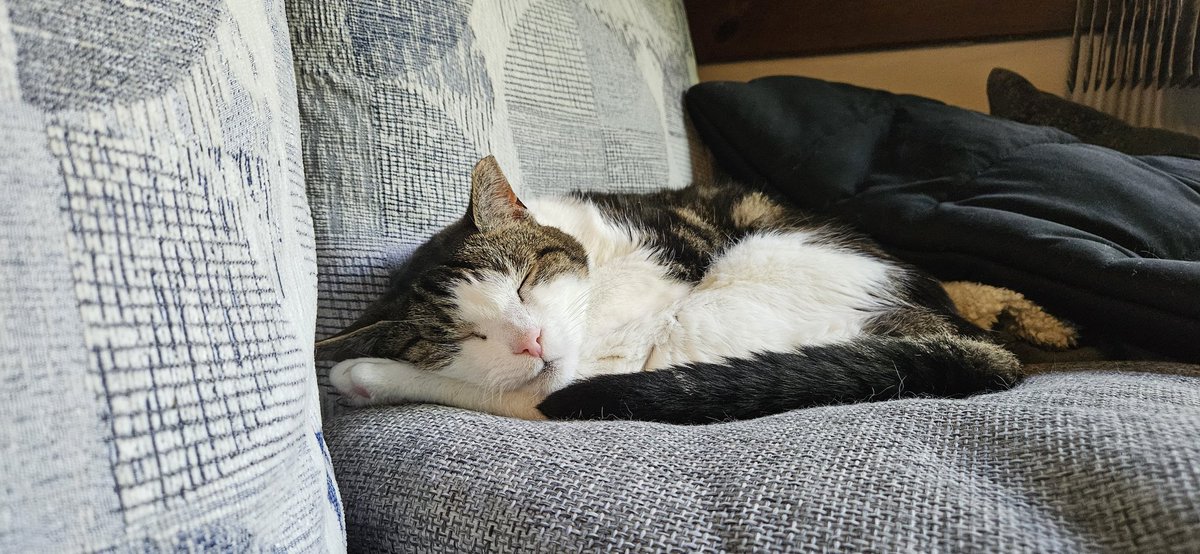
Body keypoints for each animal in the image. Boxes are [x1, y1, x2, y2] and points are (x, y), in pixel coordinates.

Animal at [314, 155, 1017, 424]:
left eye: (524, 281)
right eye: (460, 336)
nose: (530, 340)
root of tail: (956, 330)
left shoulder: (638, 316)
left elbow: (542, 391)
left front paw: (364, 373)